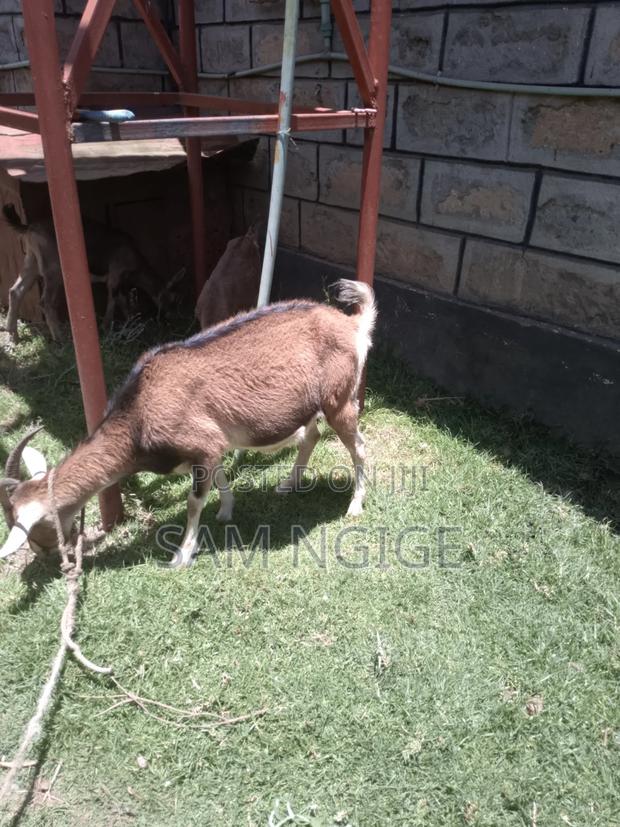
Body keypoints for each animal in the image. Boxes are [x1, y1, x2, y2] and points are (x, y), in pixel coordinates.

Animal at [0, 279, 376, 568]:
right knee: (311, 435)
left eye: (27, 525)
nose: (45, 555)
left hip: (339, 399)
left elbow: (194, 502)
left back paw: (355, 506)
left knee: (359, 446)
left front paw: (181, 555)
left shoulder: (201, 442)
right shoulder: (210, 446)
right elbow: (219, 477)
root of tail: (352, 324)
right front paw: (226, 511)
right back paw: (288, 484)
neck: (138, 414)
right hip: (312, 406)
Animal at [2, 204, 185, 342]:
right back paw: (60, 339)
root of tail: (29, 228)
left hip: (31, 260)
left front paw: (131, 321)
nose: (175, 318)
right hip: (53, 267)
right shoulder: (115, 273)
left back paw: (13, 335)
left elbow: (122, 300)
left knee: (16, 291)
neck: (136, 263)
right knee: (45, 301)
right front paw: (106, 328)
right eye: (173, 298)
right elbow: (113, 298)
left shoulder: (120, 279)